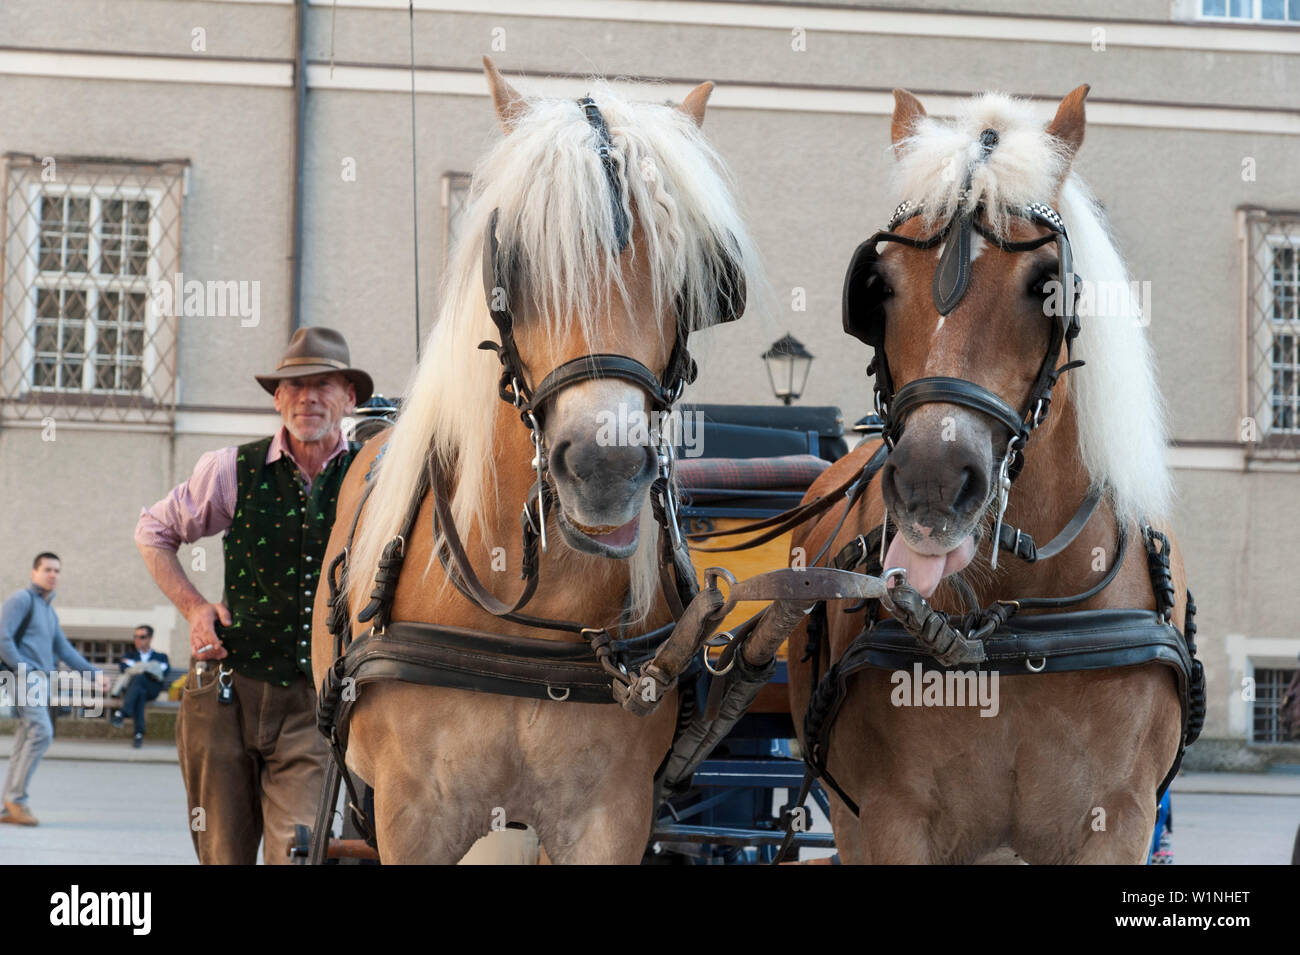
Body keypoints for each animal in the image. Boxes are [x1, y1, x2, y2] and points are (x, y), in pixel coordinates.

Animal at [308, 59, 759, 867]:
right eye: (514, 258)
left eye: (691, 274)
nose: (607, 467)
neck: (533, 620)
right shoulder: (410, 816)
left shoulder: (611, 818)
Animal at [780, 85, 1196, 867]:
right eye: (879, 285)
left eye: (1045, 286)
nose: (933, 481)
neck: (1016, 622)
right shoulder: (891, 820)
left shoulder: (1120, 820)